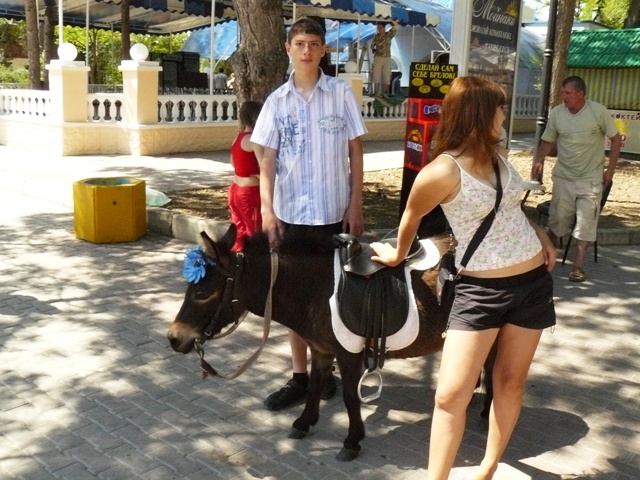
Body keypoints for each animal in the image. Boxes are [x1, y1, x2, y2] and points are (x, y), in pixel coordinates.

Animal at [167, 224, 494, 461]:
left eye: (202, 294)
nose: (173, 337)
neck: (317, 288)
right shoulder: (321, 349)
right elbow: (314, 387)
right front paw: (304, 422)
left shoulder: (349, 353)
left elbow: (350, 397)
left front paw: (352, 440)